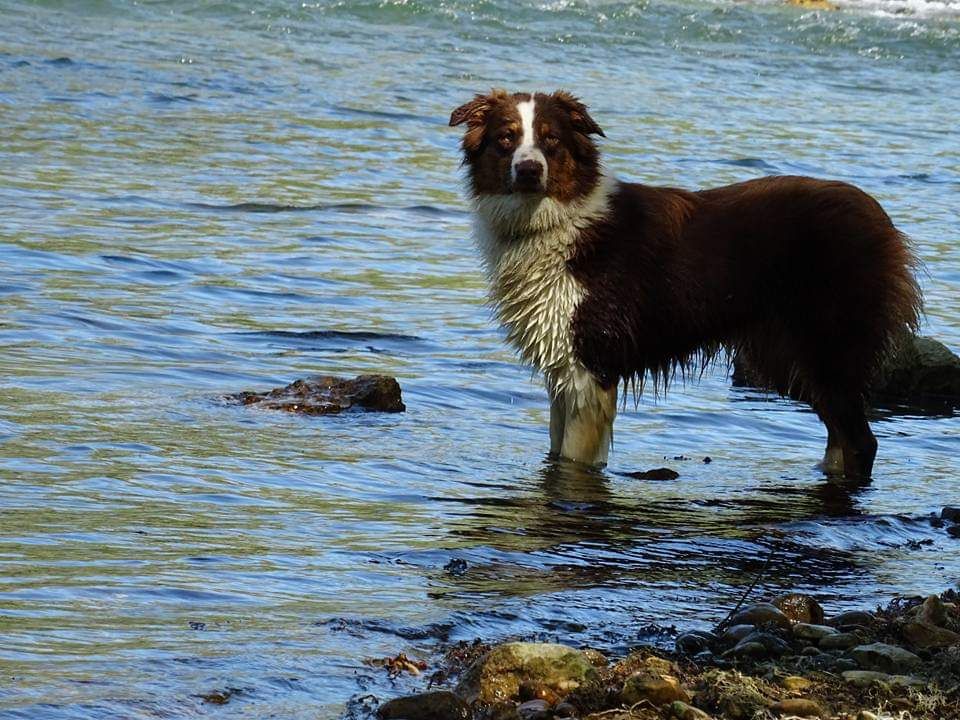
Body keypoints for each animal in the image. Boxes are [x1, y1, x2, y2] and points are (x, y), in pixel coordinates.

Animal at [450, 90, 924, 480]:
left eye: (551, 140)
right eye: (506, 138)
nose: (529, 170)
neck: (555, 222)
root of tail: (880, 218)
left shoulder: (592, 367)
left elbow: (574, 460)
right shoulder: (564, 368)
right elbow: (555, 451)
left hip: (825, 351)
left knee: (861, 441)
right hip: (791, 359)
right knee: (840, 439)